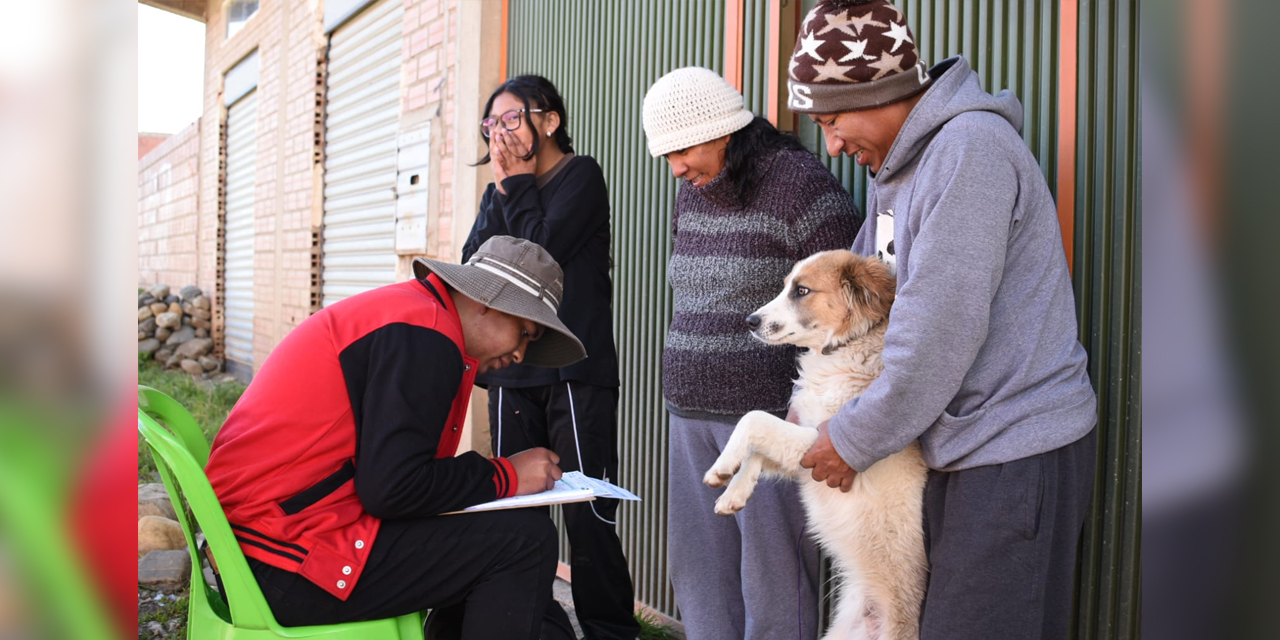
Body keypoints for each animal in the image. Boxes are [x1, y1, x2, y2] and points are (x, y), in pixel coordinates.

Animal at [706, 248, 926, 640]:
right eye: (786, 287)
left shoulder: (822, 443)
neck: (843, 350)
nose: (750, 321)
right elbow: (757, 452)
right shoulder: (803, 452)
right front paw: (734, 493)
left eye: (802, 291)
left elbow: (753, 419)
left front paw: (721, 467)